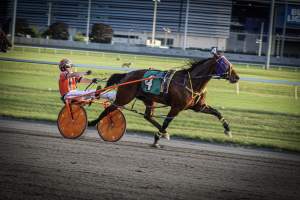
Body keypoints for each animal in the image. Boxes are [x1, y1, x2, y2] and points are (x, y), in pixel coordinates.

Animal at [88, 49, 239, 147]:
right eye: (224, 64)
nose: (237, 77)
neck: (190, 82)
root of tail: (127, 75)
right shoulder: (176, 107)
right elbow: (167, 121)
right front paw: (156, 139)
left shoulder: (198, 106)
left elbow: (217, 112)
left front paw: (228, 130)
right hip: (124, 97)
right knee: (109, 109)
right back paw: (91, 123)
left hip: (148, 99)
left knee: (148, 116)